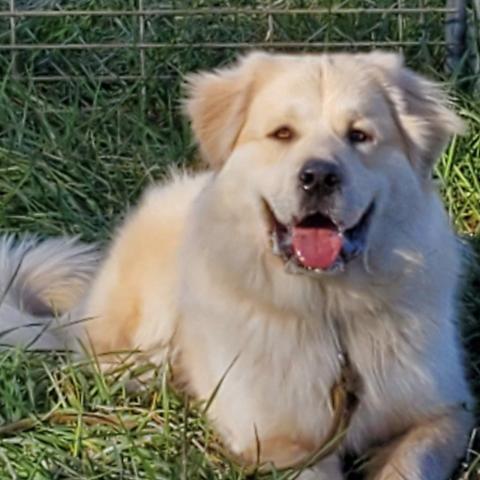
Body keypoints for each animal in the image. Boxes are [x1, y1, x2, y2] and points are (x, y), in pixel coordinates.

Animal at [0, 50, 472, 478]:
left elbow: (412, 463)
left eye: (359, 135)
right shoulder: (277, 444)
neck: (330, 310)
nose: (319, 177)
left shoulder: (446, 410)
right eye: (282, 134)